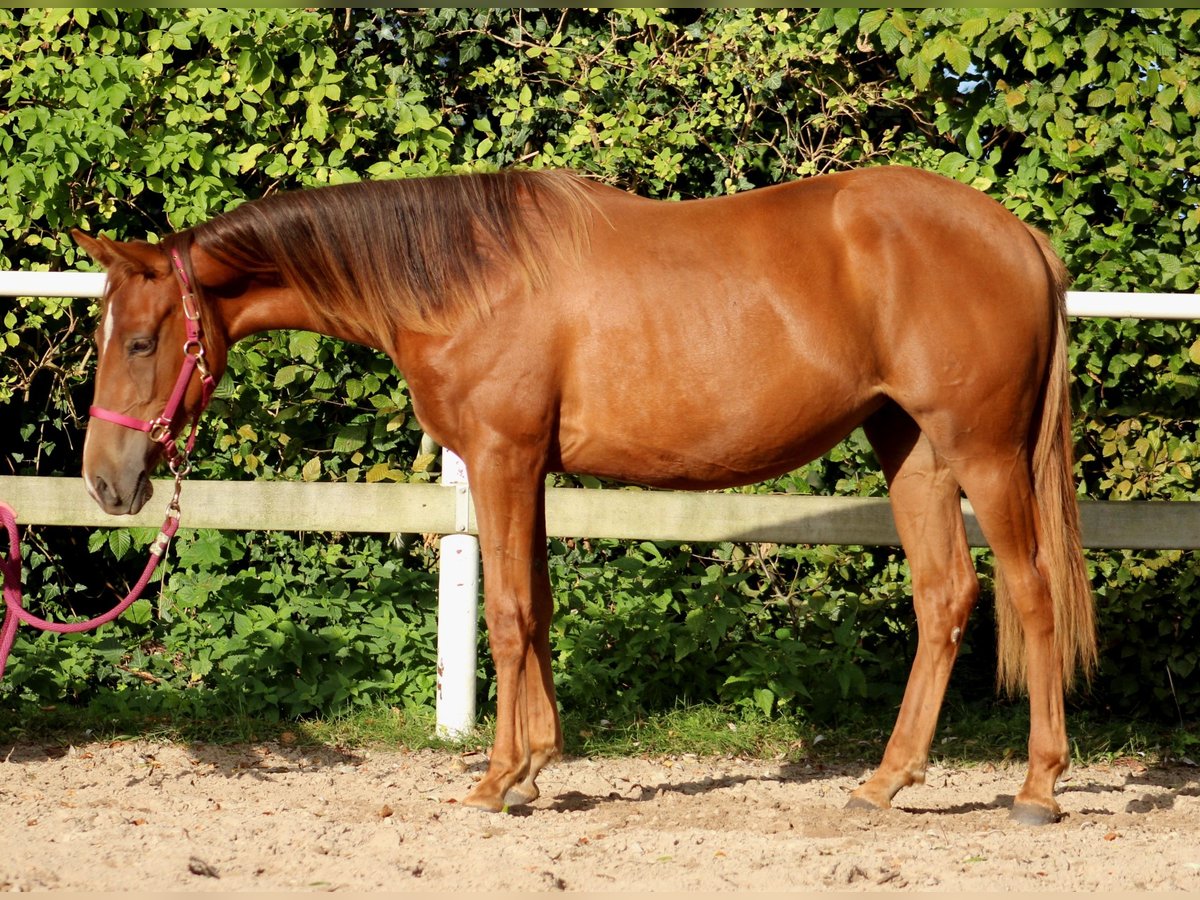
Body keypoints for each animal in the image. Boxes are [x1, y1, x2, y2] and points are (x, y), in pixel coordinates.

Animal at [70, 165, 1094, 830]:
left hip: (985, 454)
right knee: (944, 599)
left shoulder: (500, 458)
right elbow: (540, 605)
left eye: (142, 341)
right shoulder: (529, 468)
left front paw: (495, 781)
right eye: (103, 334)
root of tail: (1021, 238)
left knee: (1031, 592)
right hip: (911, 451)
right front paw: (536, 767)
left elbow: (507, 613)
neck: (466, 280)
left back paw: (1038, 788)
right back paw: (886, 781)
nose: (106, 481)